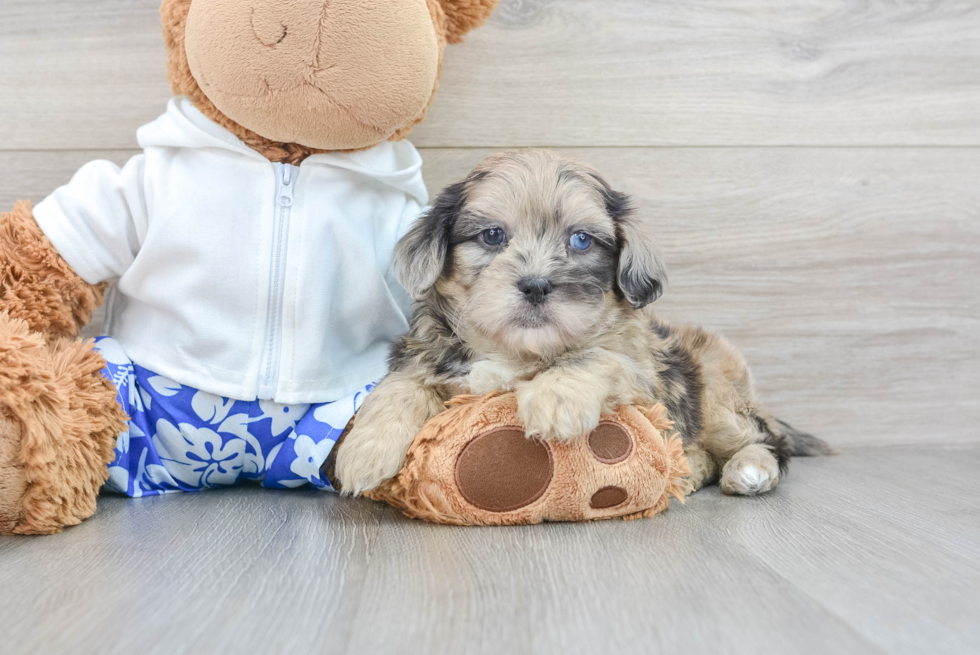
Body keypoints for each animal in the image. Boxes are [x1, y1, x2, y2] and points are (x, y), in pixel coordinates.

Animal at [334, 150, 832, 498]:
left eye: (580, 240)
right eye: (492, 235)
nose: (536, 285)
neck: (519, 350)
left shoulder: (641, 374)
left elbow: (596, 355)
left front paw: (555, 398)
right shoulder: (424, 356)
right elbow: (399, 387)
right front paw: (364, 450)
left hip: (718, 393)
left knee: (768, 440)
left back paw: (749, 469)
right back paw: (689, 470)